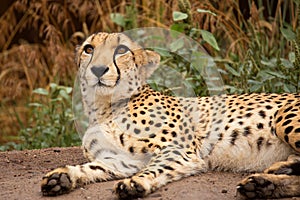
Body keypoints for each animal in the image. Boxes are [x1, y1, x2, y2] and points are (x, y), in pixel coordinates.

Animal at [40, 32, 300, 198]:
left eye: (121, 50)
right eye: (89, 49)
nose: (97, 69)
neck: (105, 107)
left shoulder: (177, 150)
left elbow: (155, 168)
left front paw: (135, 182)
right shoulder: (122, 159)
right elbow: (92, 167)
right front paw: (62, 176)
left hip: (284, 118)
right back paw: (265, 182)